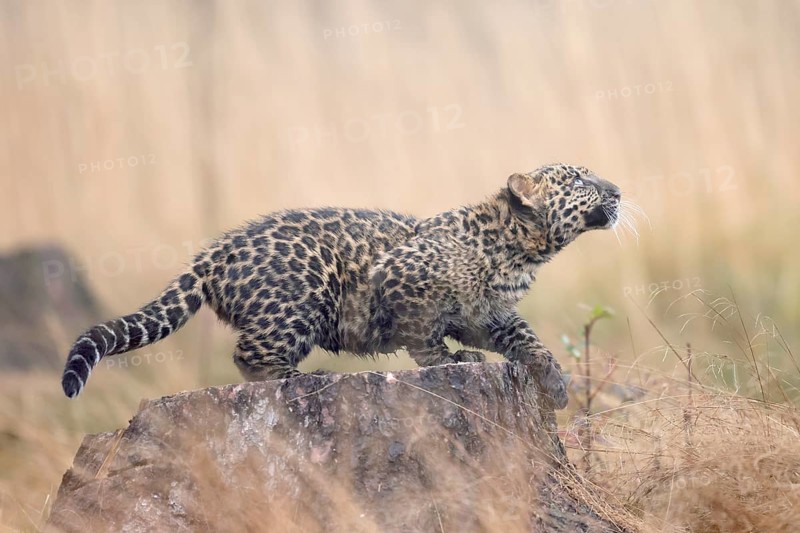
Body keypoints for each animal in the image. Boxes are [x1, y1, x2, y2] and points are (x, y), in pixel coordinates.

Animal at [61, 163, 621, 409]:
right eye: (580, 180)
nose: (617, 189)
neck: (519, 250)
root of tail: (214, 253)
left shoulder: (490, 314)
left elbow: (529, 340)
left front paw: (555, 383)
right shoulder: (402, 281)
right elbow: (423, 337)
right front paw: (451, 361)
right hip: (303, 294)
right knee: (250, 355)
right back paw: (300, 377)